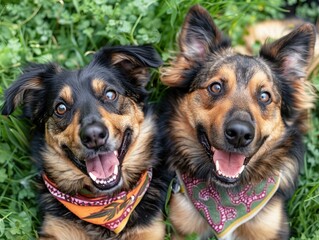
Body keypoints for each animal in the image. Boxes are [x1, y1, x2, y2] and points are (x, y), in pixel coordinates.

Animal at [1, 45, 170, 240]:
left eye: (110, 94)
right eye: (61, 108)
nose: (94, 135)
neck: (105, 200)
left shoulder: (149, 230)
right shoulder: (57, 229)